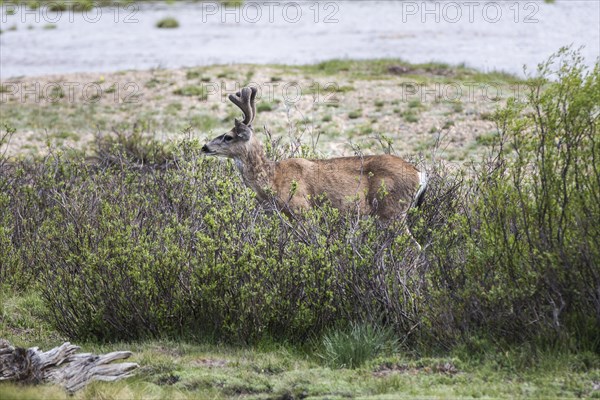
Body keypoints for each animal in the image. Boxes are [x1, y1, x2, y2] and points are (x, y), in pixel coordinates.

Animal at [202, 88, 426, 248]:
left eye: (228, 136)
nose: (204, 147)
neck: (274, 179)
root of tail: (420, 174)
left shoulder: (303, 209)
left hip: (393, 211)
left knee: (415, 247)